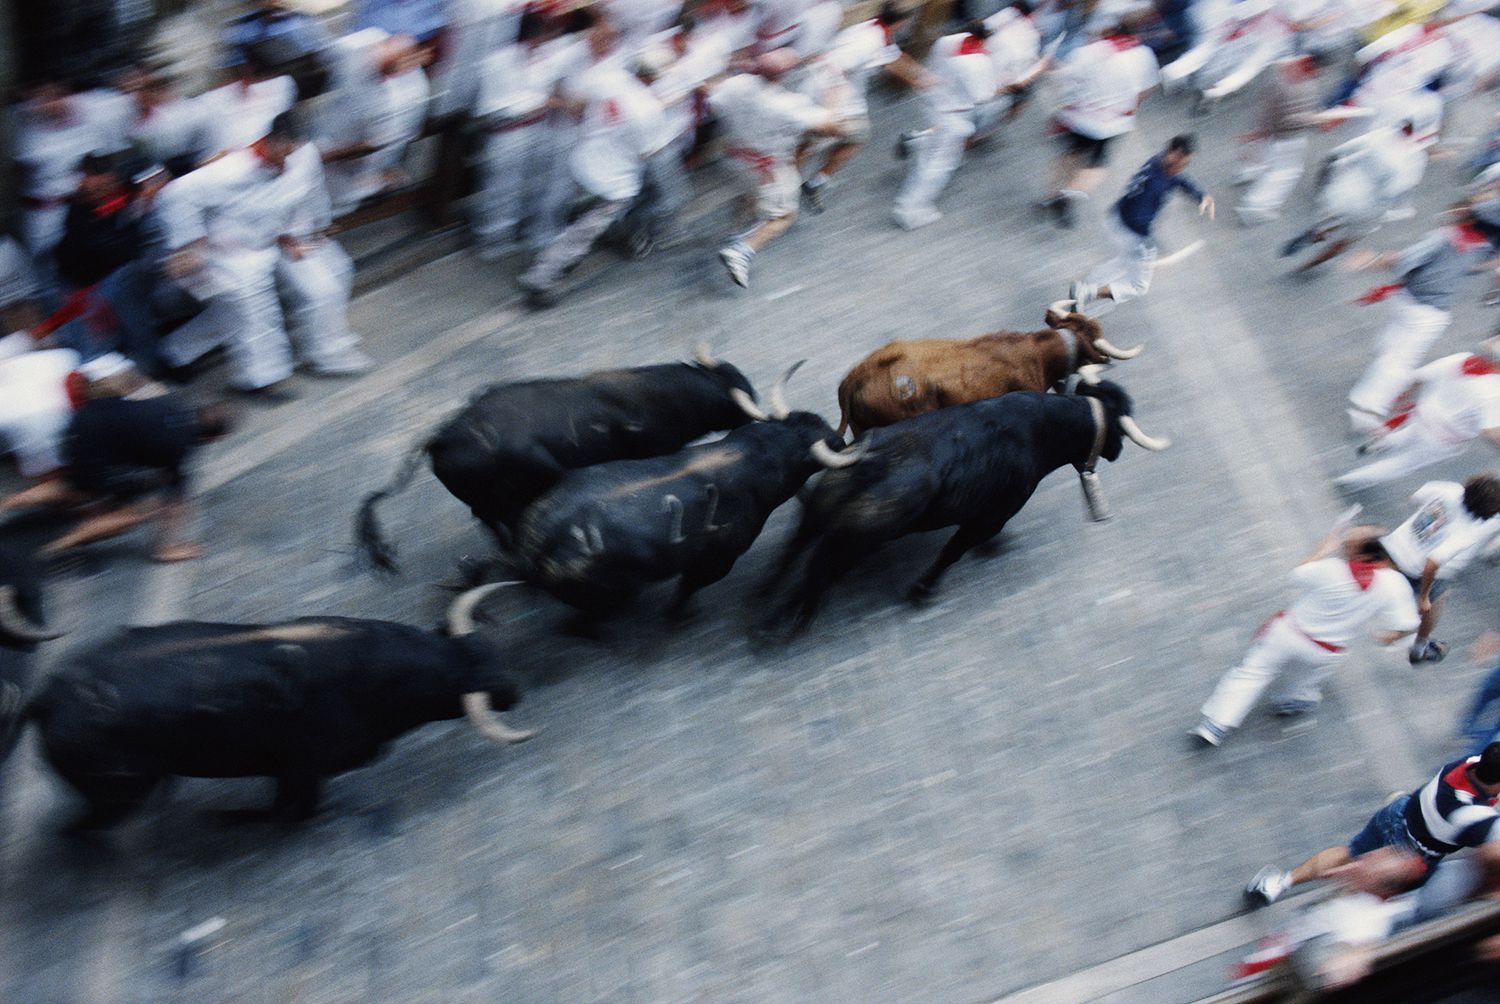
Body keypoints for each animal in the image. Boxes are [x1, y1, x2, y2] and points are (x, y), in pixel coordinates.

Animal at [0, 582, 534, 828]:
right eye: (481, 680)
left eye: (487, 651)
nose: (515, 689)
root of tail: (47, 693)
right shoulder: (303, 768)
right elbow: (291, 810)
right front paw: (237, 817)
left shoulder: (292, 771)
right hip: (117, 791)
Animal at [360, 351, 762, 570]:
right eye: (738, 397)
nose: (755, 419)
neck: (653, 397)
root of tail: (441, 437)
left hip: (486, 500)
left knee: (486, 519)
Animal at [516, 366, 846, 618]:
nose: (840, 440)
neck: (761, 452)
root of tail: (535, 547)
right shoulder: (717, 561)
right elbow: (688, 588)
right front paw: (680, 614)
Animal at [762, 379, 1170, 630]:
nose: (1116, 451)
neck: (1041, 428)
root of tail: (871, 460)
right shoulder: (991, 517)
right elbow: (952, 553)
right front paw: (921, 590)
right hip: (855, 543)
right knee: (818, 570)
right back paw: (788, 623)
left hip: (819, 514)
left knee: (795, 549)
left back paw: (764, 609)